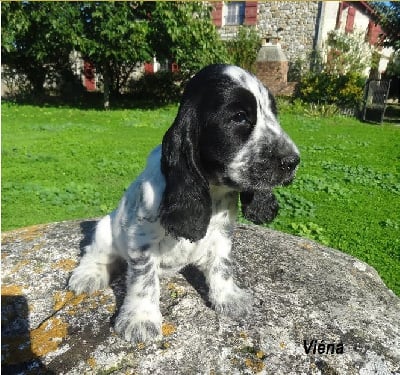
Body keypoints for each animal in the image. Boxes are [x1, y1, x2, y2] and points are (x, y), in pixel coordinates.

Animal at [69, 64, 300, 344]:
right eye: (239, 117)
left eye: (273, 114)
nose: (292, 161)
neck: (212, 187)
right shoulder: (141, 238)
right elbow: (144, 280)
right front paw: (140, 319)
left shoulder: (223, 233)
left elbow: (222, 265)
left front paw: (229, 298)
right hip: (105, 227)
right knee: (95, 252)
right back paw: (87, 275)